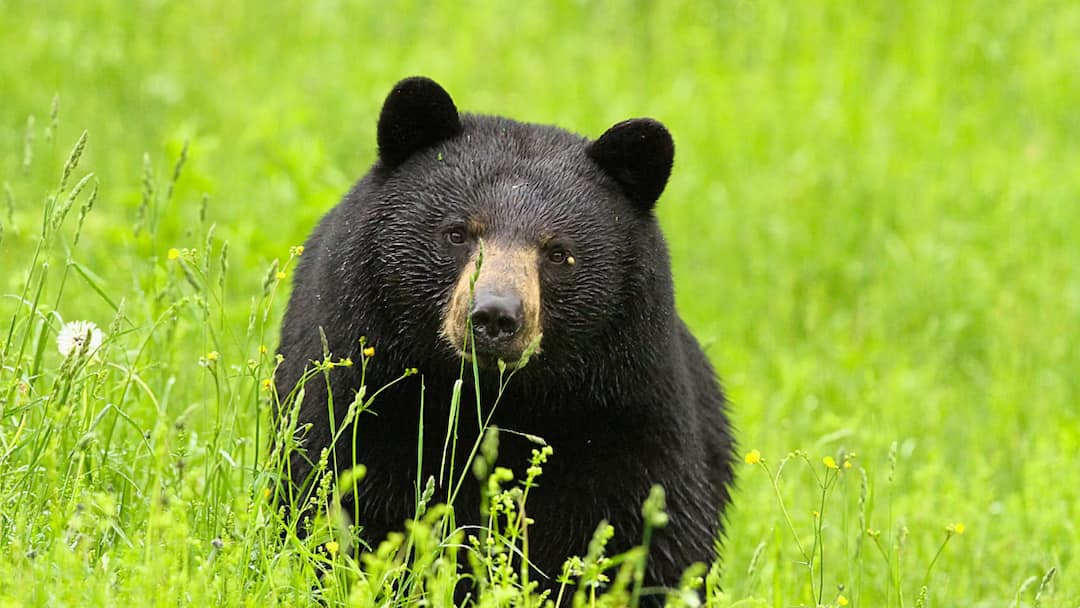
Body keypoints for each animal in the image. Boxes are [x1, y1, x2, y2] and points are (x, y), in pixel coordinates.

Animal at [273, 76, 735, 604]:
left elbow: (653, 534)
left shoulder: (628, 412)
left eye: (559, 253)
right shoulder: (364, 388)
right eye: (456, 232)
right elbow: (340, 494)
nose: (494, 316)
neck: (501, 399)